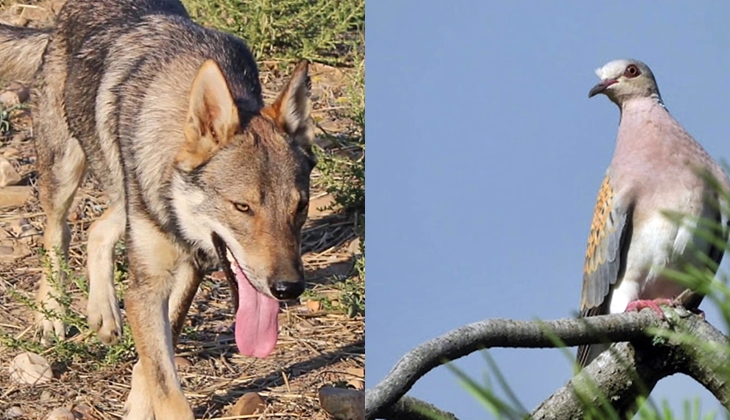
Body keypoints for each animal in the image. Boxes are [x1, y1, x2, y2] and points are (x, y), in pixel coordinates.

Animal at [0, 0, 316, 418]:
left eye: (300, 207)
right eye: (242, 207)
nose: (288, 289)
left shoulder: (190, 267)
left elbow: (153, 364)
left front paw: (138, 402)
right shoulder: (148, 285)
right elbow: (167, 390)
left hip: (127, 194)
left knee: (98, 228)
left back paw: (103, 313)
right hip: (65, 171)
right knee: (58, 234)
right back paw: (50, 315)